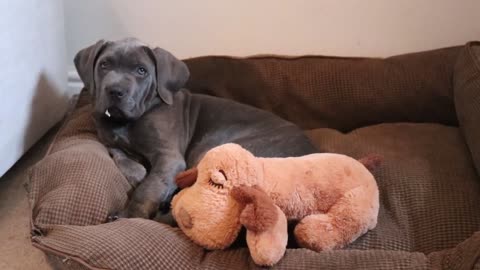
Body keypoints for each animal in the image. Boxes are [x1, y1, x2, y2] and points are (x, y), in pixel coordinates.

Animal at [74, 38, 316, 219]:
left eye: (141, 70)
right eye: (104, 65)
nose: (115, 91)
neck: (125, 121)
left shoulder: (169, 157)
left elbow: (149, 186)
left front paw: (129, 215)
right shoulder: (107, 137)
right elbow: (116, 151)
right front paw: (135, 170)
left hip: (212, 147)